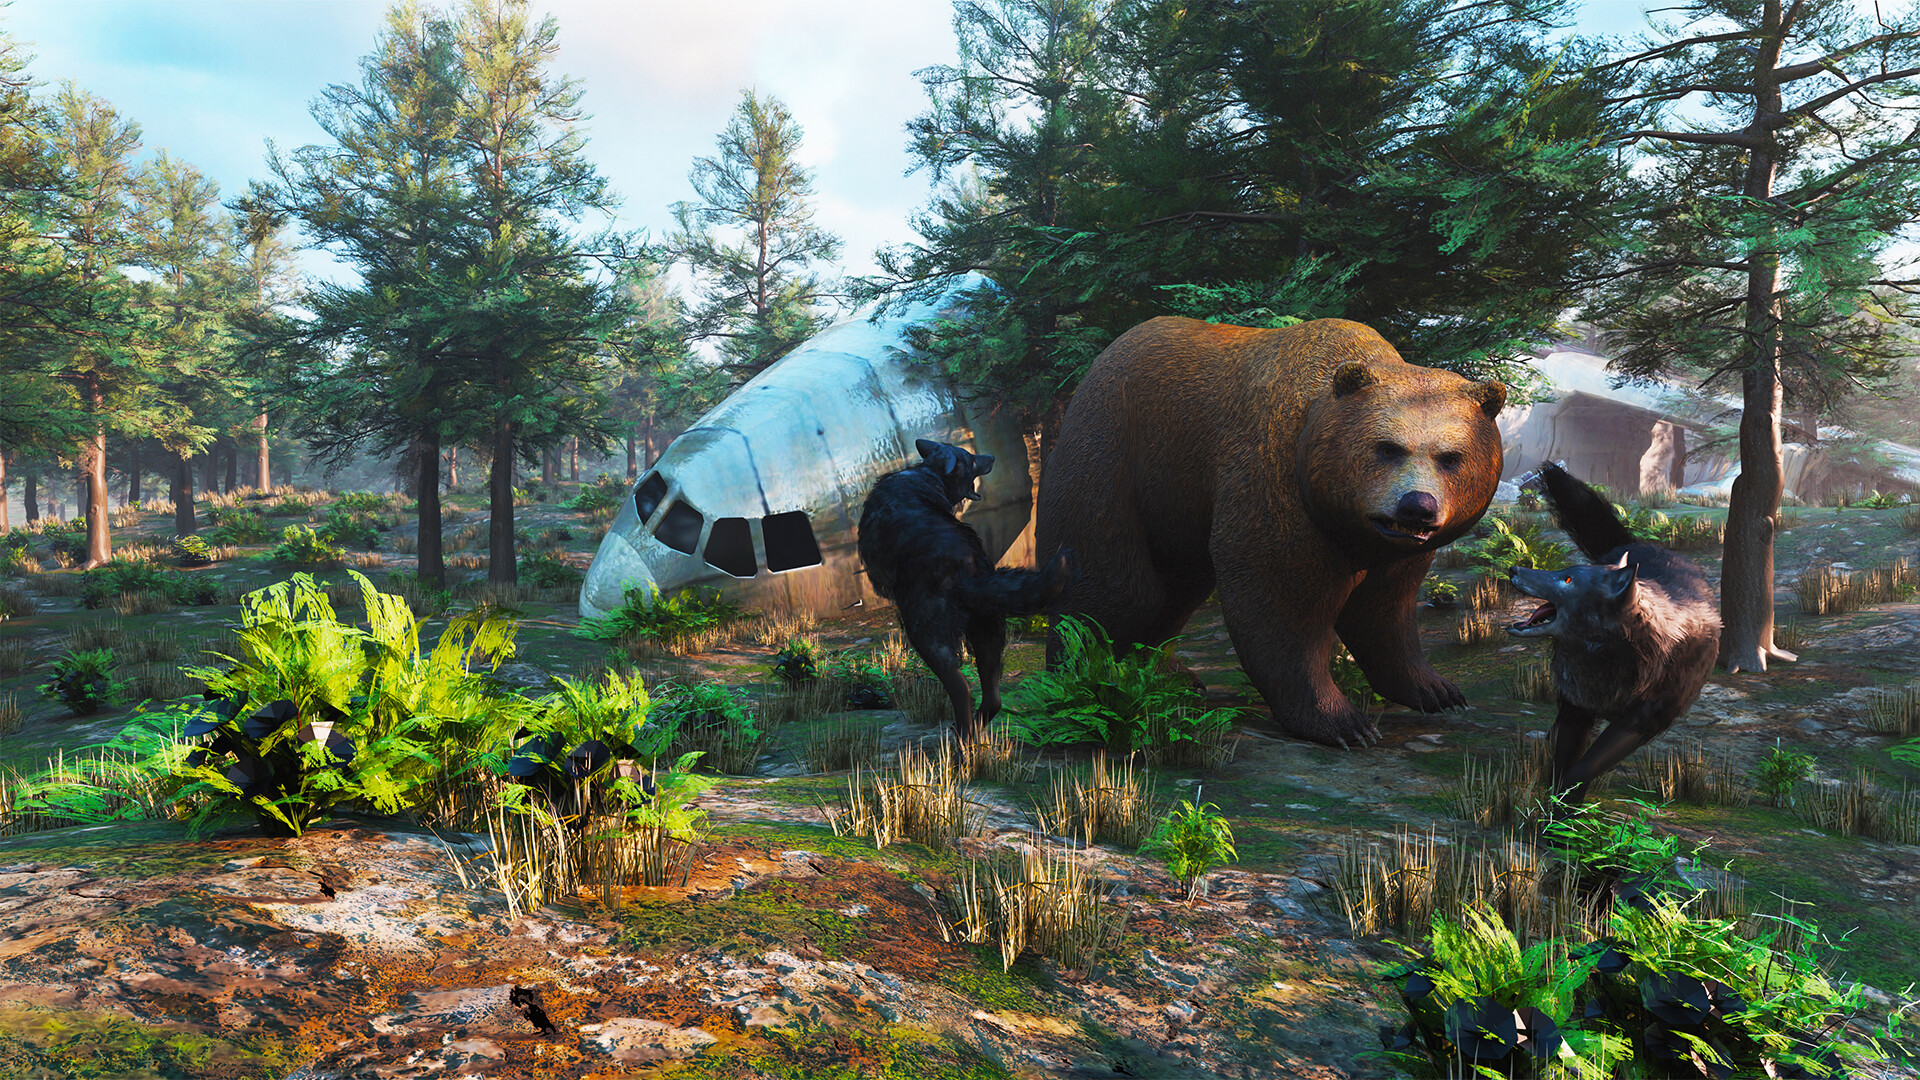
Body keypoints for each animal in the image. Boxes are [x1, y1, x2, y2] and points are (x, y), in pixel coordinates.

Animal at [858, 438, 1076, 737]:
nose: (991, 456)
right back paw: (975, 731)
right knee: (992, 698)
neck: (929, 473)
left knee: (962, 690)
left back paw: (962, 739)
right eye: (971, 458)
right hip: (988, 633)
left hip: (928, 639)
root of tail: (967, 572)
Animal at [1506, 463, 1720, 801]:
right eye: (1564, 571)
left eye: (1567, 579)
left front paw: (1566, 806)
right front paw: (1556, 806)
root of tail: (1638, 543)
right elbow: (1564, 763)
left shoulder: (1640, 722)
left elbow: (1583, 769)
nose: (1513, 570)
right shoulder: (1577, 706)